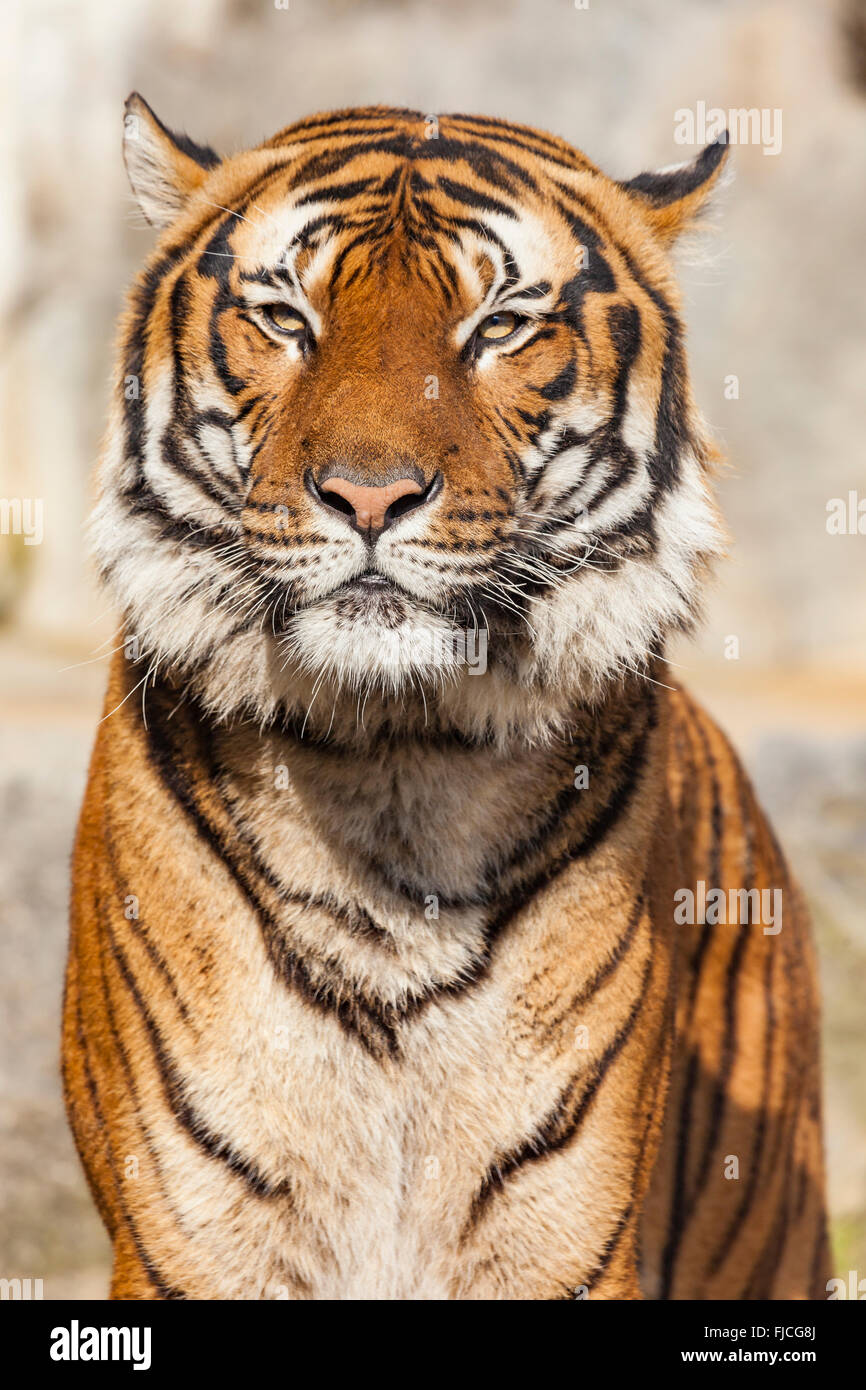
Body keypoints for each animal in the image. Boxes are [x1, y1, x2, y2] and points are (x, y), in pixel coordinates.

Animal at [62, 97, 834, 1301]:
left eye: (501, 326)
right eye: (284, 317)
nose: (369, 495)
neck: (393, 758)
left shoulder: (561, 1241)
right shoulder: (194, 1239)